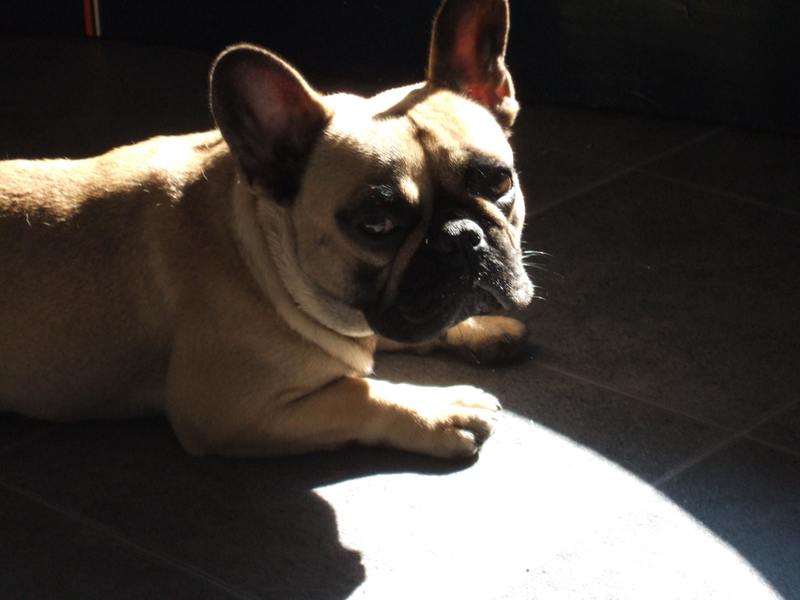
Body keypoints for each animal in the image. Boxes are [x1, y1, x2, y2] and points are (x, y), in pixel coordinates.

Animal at [0, 0, 533, 459]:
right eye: (376, 225)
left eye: (500, 181)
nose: (461, 237)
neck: (258, 248)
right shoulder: (230, 411)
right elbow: (359, 393)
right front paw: (443, 408)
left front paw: (484, 329)